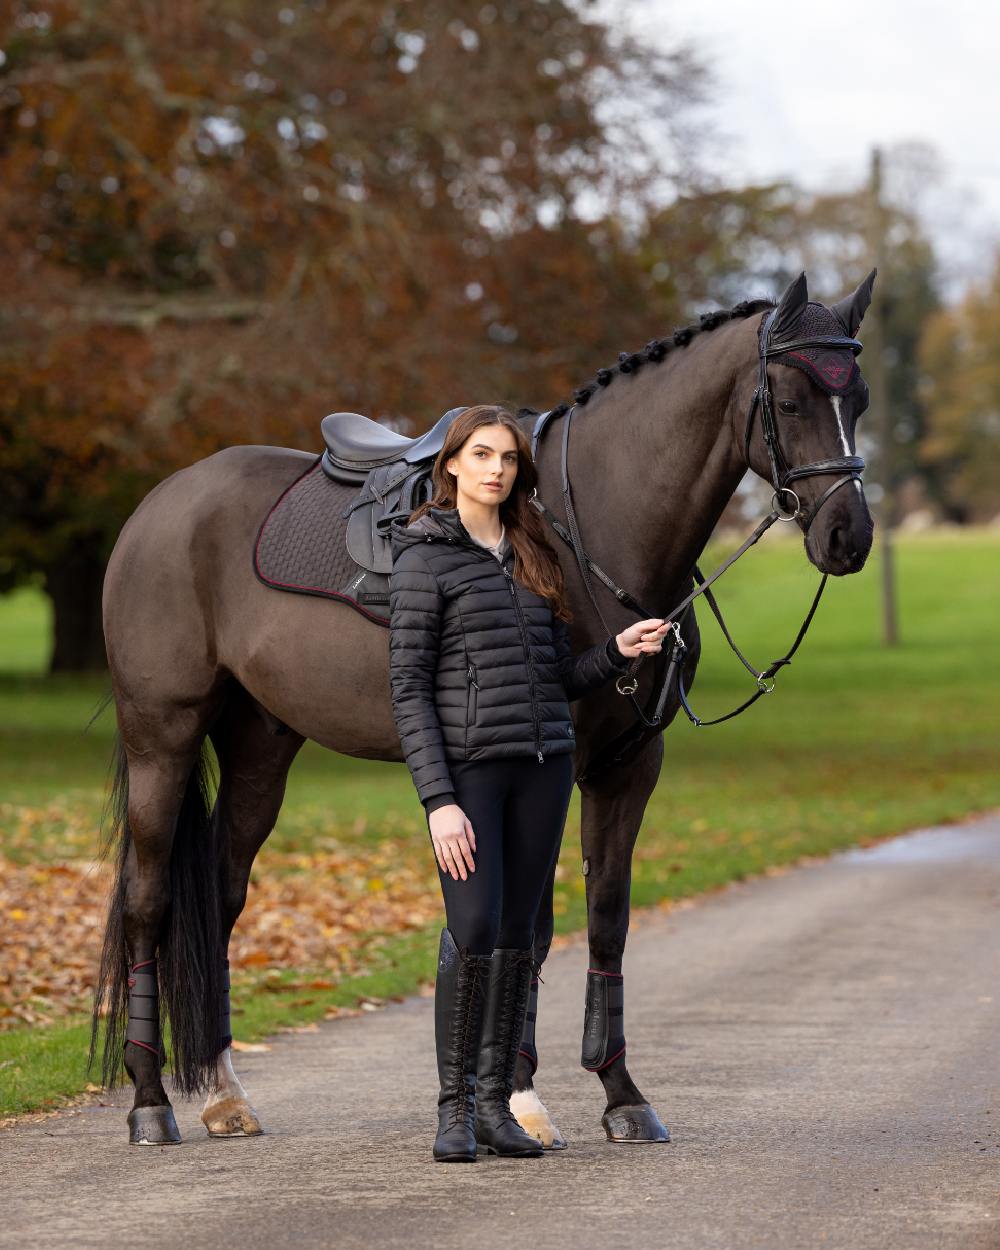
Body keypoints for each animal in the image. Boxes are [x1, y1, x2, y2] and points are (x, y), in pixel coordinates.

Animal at [91, 271, 875, 1145]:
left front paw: (620, 1094)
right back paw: (150, 1103)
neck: (591, 527)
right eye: (789, 397)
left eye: (861, 397)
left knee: (222, 897)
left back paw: (226, 1093)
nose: (849, 537)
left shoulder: (628, 767)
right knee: (149, 903)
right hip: (162, 736)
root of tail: (161, 504)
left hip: (262, 745)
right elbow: (530, 929)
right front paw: (525, 1099)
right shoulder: (553, 768)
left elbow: (605, 918)